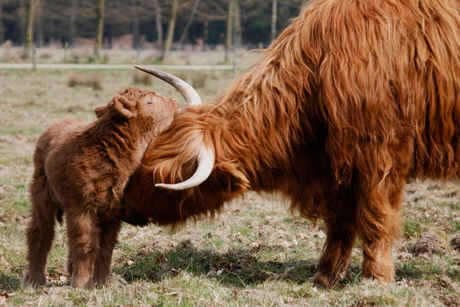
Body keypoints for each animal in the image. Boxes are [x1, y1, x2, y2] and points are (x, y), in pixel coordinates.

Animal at [22, 88, 180, 290]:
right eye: (150, 101)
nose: (176, 101)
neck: (109, 150)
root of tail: (58, 123)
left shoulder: (113, 212)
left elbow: (105, 248)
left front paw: (101, 282)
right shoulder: (82, 208)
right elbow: (86, 244)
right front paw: (82, 285)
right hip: (41, 194)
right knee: (40, 232)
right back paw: (35, 280)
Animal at [124, 0, 460, 292]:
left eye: (165, 181)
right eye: (146, 156)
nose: (124, 205)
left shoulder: (381, 153)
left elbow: (376, 217)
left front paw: (376, 277)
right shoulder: (336, 167)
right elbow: (339, 223)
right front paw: (325, 277)